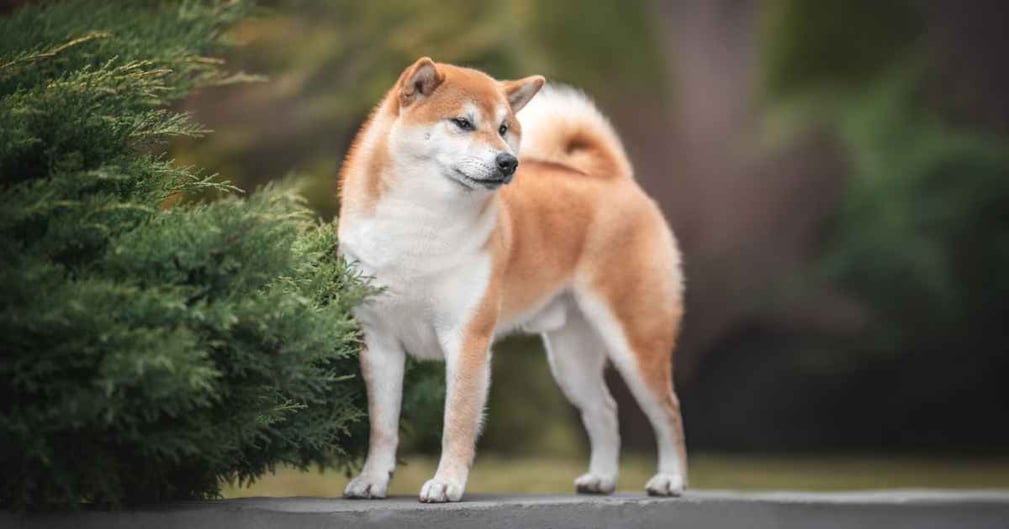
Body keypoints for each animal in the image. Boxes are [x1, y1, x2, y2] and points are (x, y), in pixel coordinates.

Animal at [339, 58, 686, 504]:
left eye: (504, 128)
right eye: (463, 123)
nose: (508, 162)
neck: (421, 220)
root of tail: (612, 177)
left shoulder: (467, 338)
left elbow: (457, 421)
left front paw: (447, 483)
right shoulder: (379, 341)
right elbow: (382, 425)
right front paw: (371, 479)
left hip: (636, 342)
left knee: (668, 411)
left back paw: (671, 479)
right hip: (571, 357)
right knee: (604, 410)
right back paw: (601, 478)